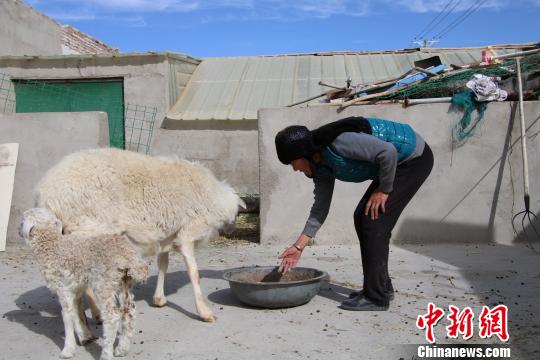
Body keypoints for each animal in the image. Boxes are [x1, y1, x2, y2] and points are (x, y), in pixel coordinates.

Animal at [20, 208, 149, 360]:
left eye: (23, 220)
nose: (19, 230)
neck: (51, 245)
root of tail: (129, 257)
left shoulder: (63, 289)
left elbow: (67, 316)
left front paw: (67, 350)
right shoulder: (75, 289)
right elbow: (77, 313)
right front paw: (84, 337)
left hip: (103, 283)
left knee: (112, 316)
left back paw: (106, 353)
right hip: (123, 283)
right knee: (129, 311)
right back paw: (121, 349)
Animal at [34, 148, 244, 322]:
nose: (233, 230)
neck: (214, 196)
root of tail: (46, 197)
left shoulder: (166, 234)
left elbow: (163, 264)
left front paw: (159, 299)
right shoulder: (187, 233)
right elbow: (194, 273)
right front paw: (204, 312)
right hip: (89, 230)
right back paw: (98, 313)